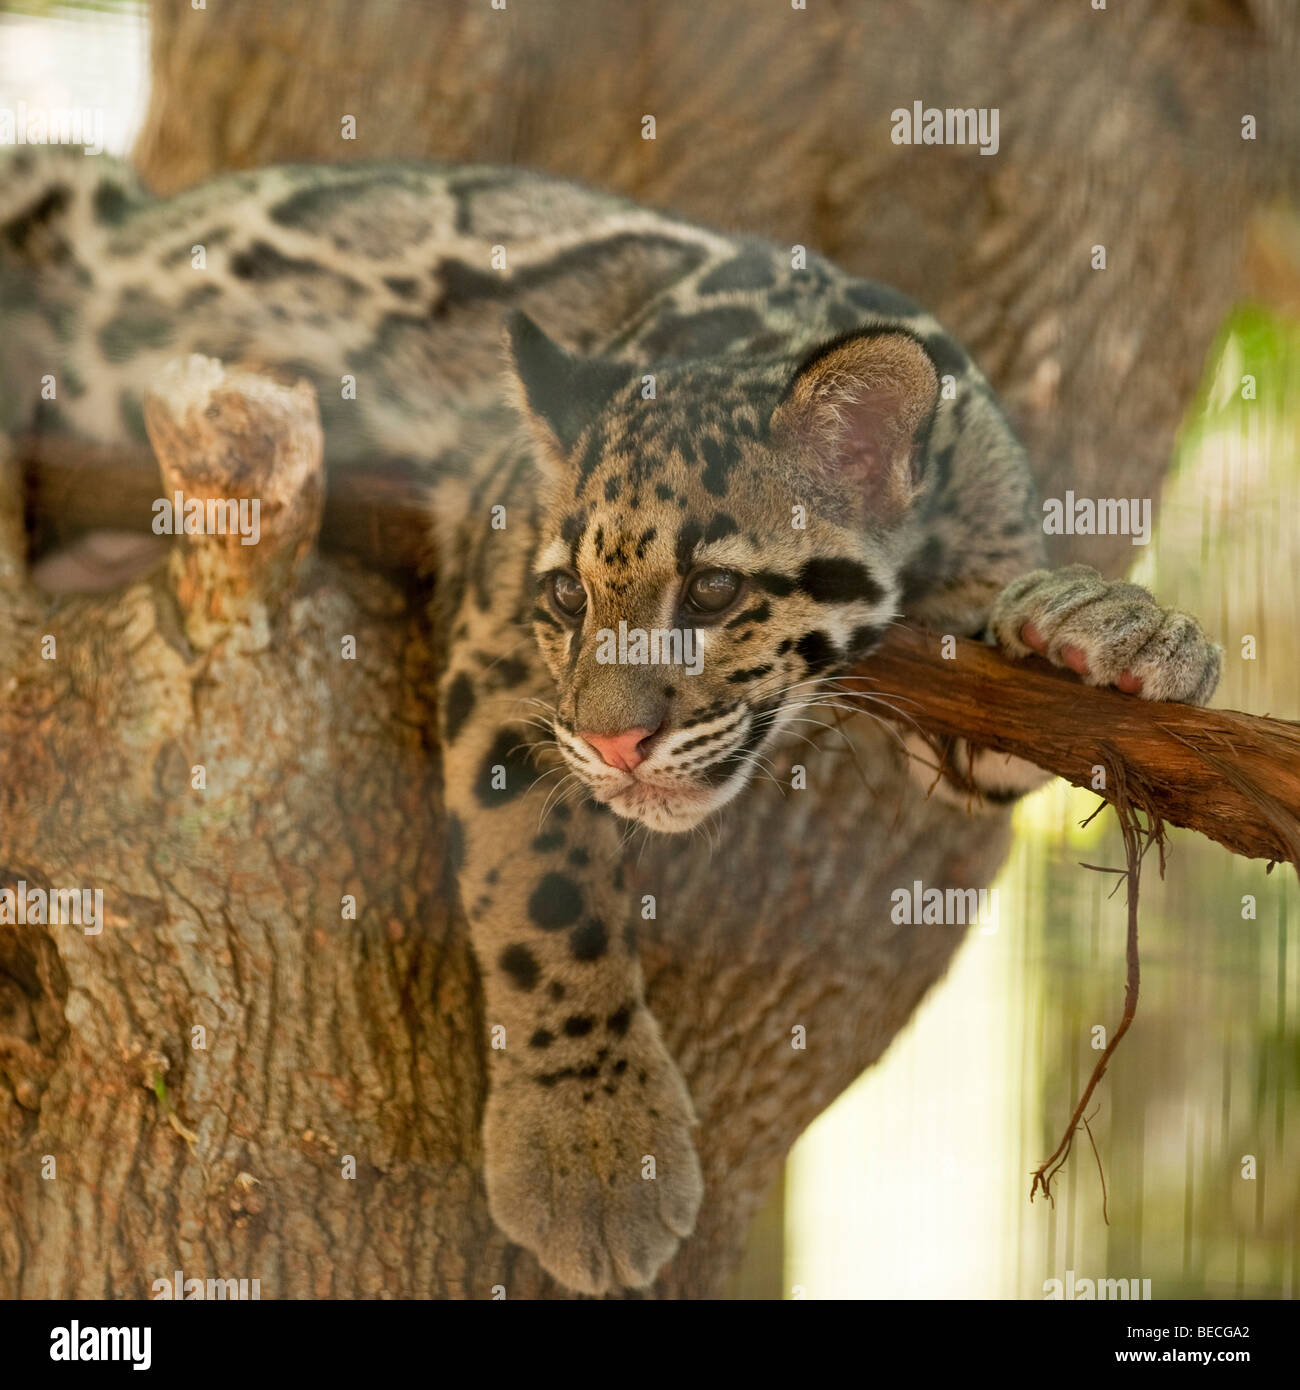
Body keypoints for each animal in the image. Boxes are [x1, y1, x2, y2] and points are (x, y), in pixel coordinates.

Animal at [0, 147, 1222, 1295]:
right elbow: (540, 883)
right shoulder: (499, 634)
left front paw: (1119, 626)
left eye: (715, 592)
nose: (612, 744)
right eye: (565, 597)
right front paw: (589, 1140)